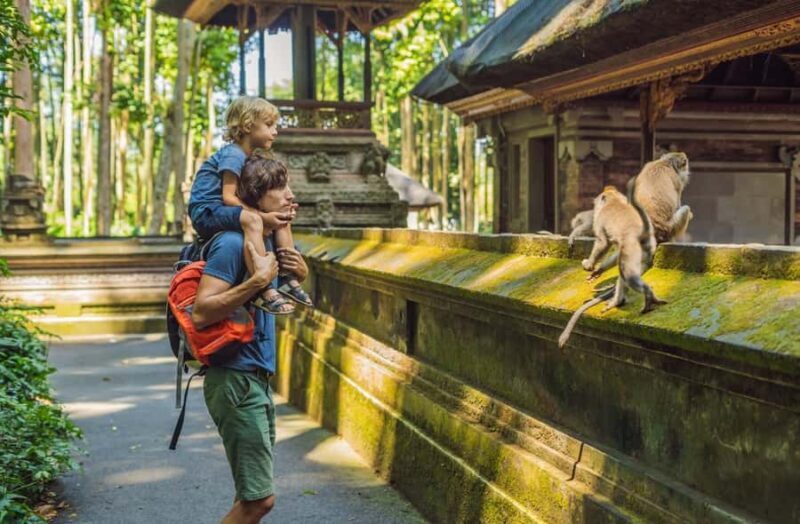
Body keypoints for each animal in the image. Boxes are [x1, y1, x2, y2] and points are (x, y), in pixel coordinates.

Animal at [558, 185, 665, 349]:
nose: (595, 206)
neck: (615, 201)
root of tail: (644, 233)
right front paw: (598, 270)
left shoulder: (600, 220)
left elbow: (603, 243)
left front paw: (590, 264)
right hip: (645, 254)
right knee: (624, 274)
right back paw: (618, 301)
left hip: (632, 249)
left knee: (627, 275)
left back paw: (646, 295)